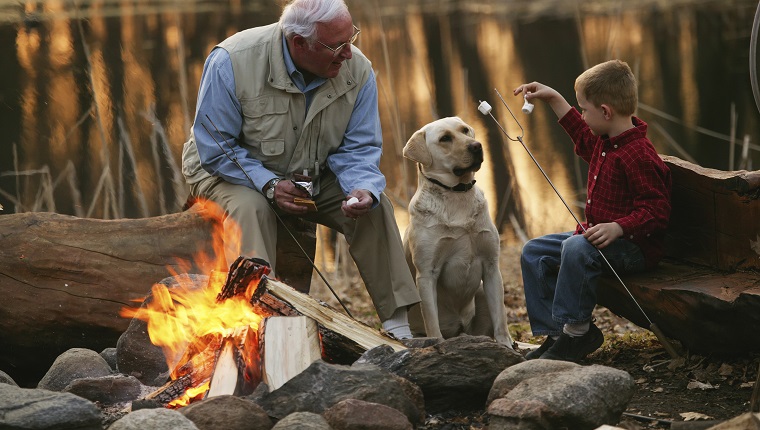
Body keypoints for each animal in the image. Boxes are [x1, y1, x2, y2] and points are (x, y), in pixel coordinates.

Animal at [400, 116, 512, 348]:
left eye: (465, 130)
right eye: (445, 138)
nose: (477, 146)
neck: (457, 194)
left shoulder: (491, 265)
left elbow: (501, 314)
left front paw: (505, 343)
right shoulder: (427, 273)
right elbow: (431, 320)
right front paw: (437, 343)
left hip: (480, 291)